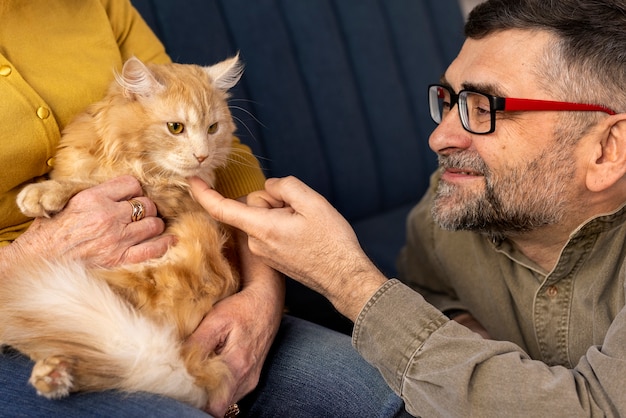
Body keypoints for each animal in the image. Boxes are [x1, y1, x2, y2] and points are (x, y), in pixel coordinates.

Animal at [1, 54, 243, 408]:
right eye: (176, 128)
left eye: (212, 128)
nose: (202, 155)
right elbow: (91, 179)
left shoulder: (167, 203)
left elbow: (88, 183)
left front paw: (43, 193)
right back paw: (55, 373)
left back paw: (57, 373)